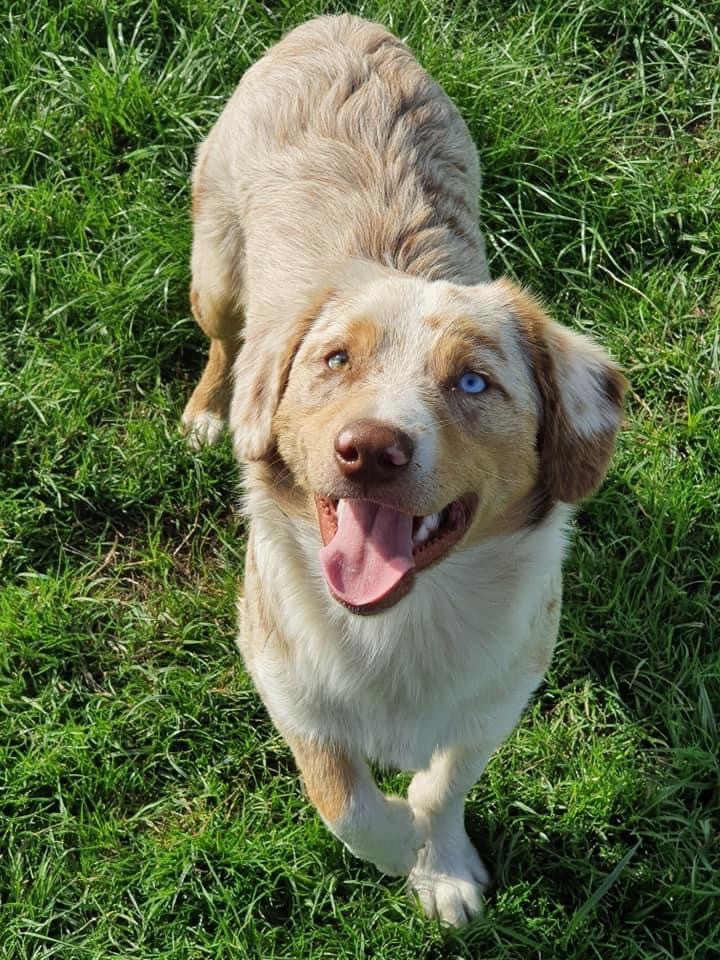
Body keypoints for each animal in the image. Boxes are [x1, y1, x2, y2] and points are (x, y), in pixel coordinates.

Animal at [183, 15, 628, 928]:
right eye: (335, 359)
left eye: (474, 382)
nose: (370, 448)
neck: (405, 625)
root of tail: (339, 24)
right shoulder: (281, 674)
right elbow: (350, 806)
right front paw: (401, 847)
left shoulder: (499, 697)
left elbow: (444, 786)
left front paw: (443, 866)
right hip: (215, 266)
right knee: (220, 343)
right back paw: (208, 411)